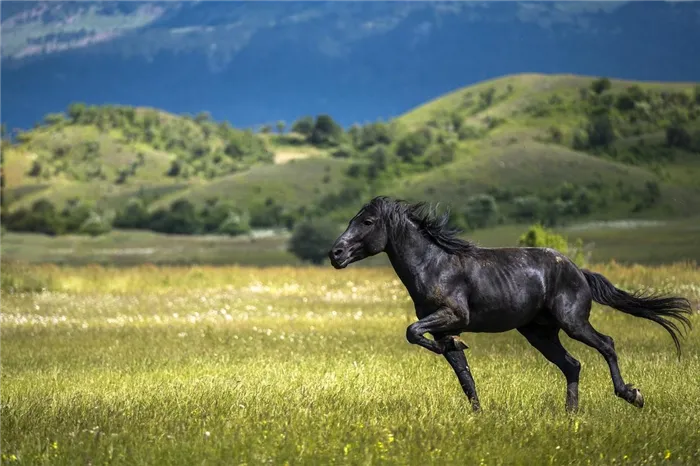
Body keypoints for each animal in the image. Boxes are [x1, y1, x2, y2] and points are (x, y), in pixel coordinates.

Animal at [328, 196, 696, 412]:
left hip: (573, 322)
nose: (335, 254)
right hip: (539, 333)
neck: (434, 265)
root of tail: (578, 270)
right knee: (572, 365)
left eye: (367, 222)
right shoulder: (442, 327)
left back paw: (631, 395)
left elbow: (411, 331)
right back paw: (570, 416)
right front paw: (477, 413)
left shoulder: (452, 315)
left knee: (606, 344)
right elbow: (462, 372)